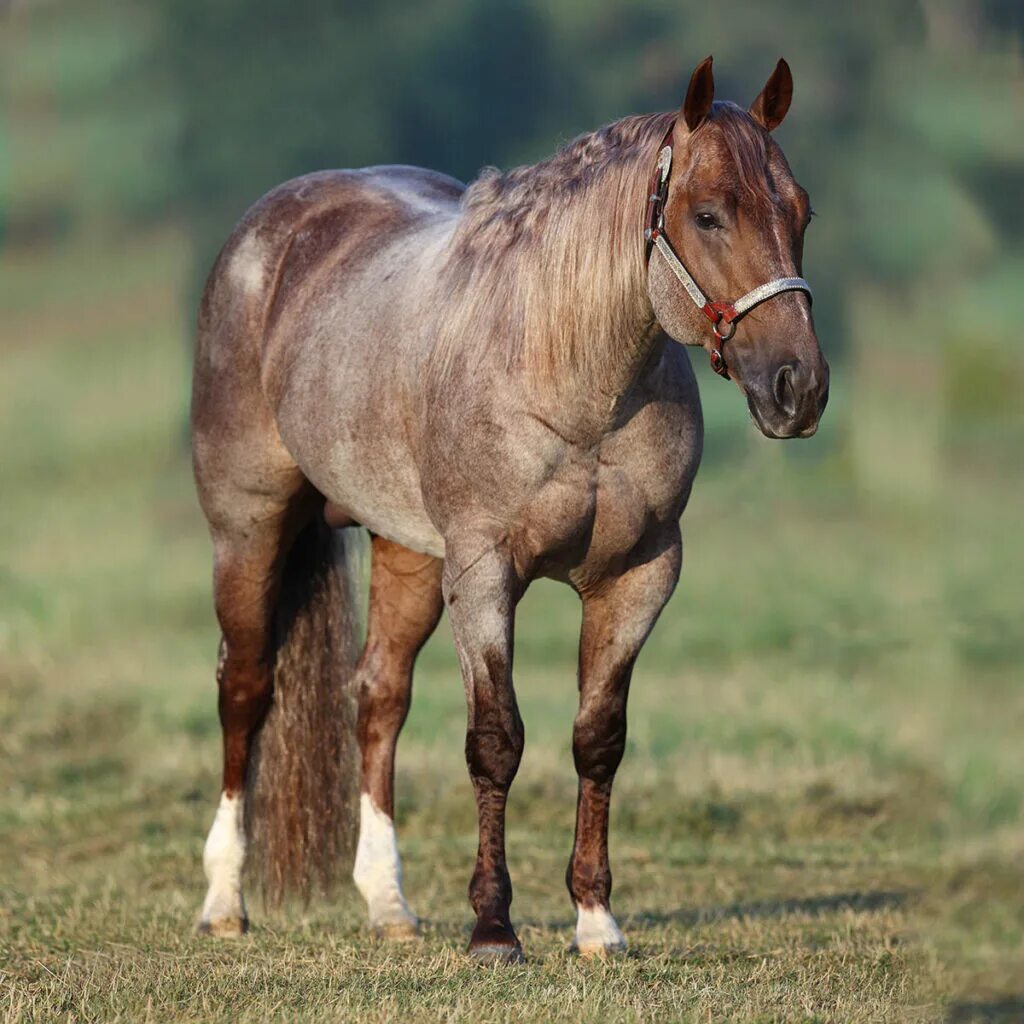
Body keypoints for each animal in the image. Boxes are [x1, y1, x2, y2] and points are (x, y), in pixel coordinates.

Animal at [192, 51, 831, 954]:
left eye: (800, 210)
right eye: (708, 215)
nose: (797, 388)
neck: (570, 372)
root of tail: (273, 230)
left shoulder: (639, 577)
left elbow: (599, 739)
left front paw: (596, 921)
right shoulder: (487, 574)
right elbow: (497, 741)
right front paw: (494, 926)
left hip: (409, 554)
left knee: (378, 696)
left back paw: (388, 904)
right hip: (247, 530)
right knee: (245, 688)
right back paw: (224, 900)